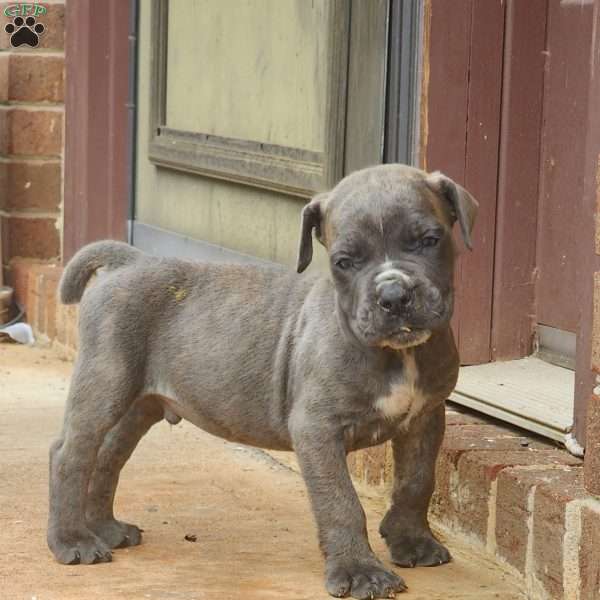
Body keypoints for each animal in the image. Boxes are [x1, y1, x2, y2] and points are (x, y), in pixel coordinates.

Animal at [48, 165, 478, 600]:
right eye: (343, 262)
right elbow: (341, 501)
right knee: (70, 454)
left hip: (139, 404)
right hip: (105, 383)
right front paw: (360, 571)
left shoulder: (425, 417)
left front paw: (412, 542)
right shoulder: (317, 429)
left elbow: (417, 480)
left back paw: (105, 529)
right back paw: (73, 541)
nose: (392, 295)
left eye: (430, 241)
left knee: (107, 456)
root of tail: (128, 261)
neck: (399, 353)